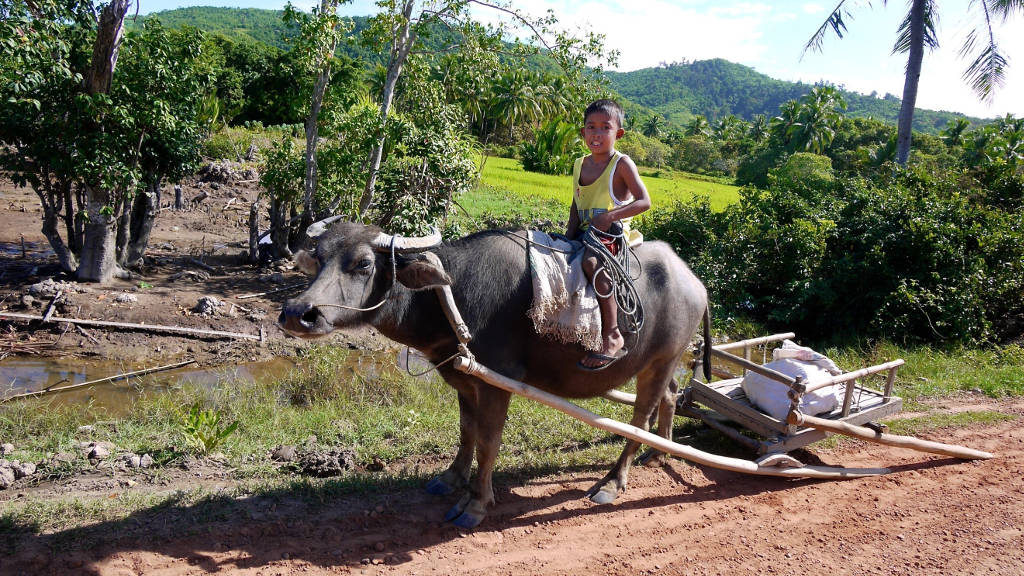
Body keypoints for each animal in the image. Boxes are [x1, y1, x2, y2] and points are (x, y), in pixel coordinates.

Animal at [280, 222, 712, 528]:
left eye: (364, 264)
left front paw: (475, 504)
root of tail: (695, 281)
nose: (297, 313)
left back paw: (612, 482)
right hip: (662, 362)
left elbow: (489, 442)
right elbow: (466, 432)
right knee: (671, 396)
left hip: (661, 360)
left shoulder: (496, 384)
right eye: (319, 260)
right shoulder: (463, 380)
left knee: (640, 418)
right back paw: (660, 452)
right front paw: (451, 478)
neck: (450, 296)